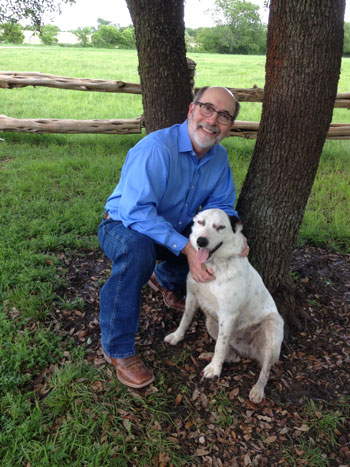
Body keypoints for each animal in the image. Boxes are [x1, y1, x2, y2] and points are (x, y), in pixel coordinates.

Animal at [165, 208, 284, 402]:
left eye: (220, 227)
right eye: (201, 222)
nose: (201, 241)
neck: (214, 265)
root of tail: (248, 350)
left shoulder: (228, 315)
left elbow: (219, 347)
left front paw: (215, 369)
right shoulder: (192, 297)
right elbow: (185, 320)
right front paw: (177, 336)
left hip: (273, 329)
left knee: (265, 369)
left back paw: (257, 390)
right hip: (211, 323)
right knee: (233, 355)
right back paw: (210, 355)